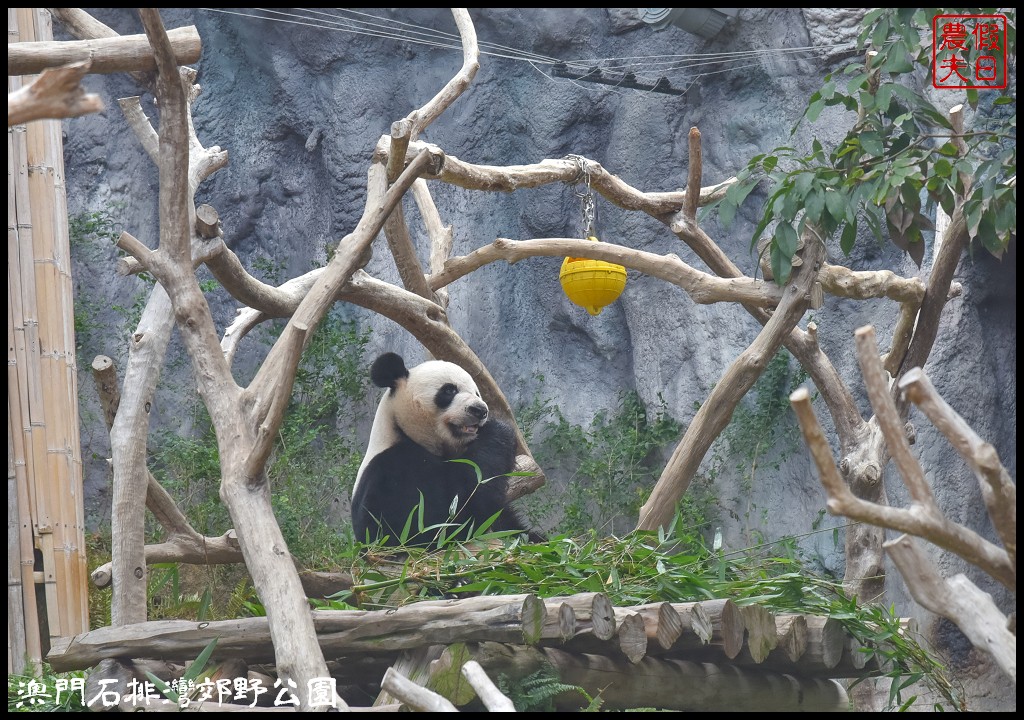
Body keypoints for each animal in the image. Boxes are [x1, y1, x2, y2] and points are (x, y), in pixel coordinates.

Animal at [352, 354, 544, 544]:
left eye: (477, 393)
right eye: (449, 390)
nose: (480, 410)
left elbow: (505, 522)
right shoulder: (392, 469)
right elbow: (431, 523)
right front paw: (499, 430)